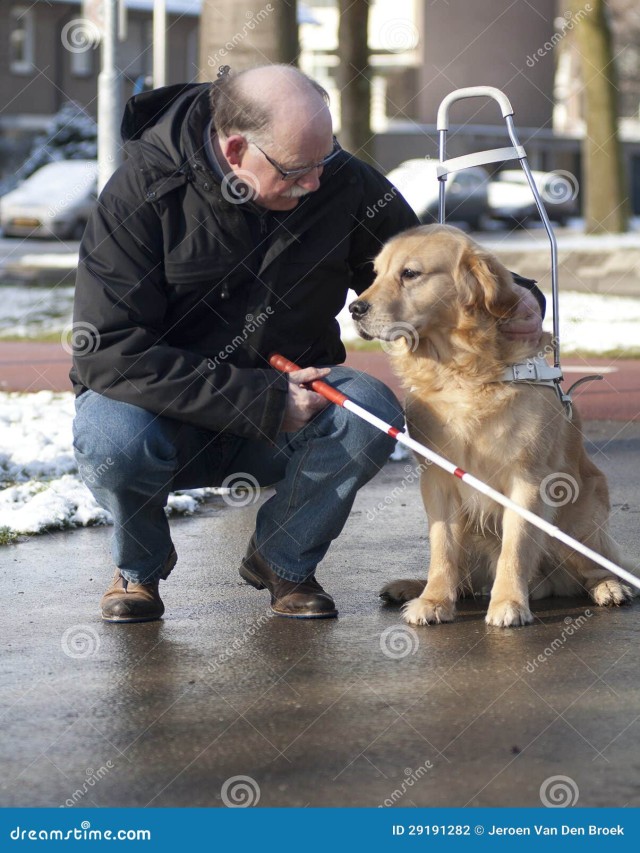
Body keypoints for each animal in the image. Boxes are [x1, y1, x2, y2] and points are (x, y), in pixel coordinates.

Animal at [350, 226, 636, 624]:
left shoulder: (526, 480)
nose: (354, 309)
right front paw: (434, 600)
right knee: (466, 578)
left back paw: (609, 587)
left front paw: (508, 604)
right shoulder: (438, 478)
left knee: (595, 566)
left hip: (575, 520)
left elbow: (514, 549)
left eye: (410, 273)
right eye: (375, 273)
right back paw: (412, 587)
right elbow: (442, 548)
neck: (460, 371)